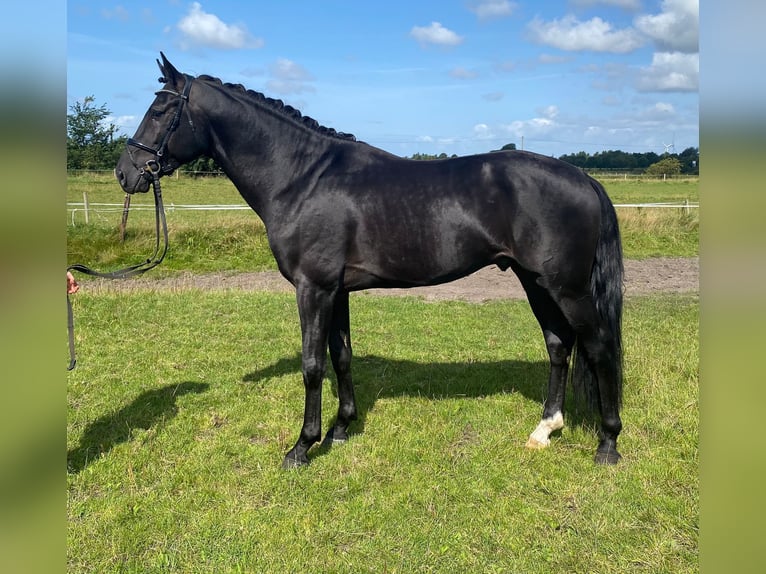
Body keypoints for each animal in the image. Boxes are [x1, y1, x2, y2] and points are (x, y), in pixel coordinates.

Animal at [118, 53, 624, 468]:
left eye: (160, 111)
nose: (126, 173)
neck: (301, 178)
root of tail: (583, 177)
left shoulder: (314, 288)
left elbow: (312, 365)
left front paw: (302, 447)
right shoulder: (336, 290)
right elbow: (341, 356)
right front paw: (341, 429)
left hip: (567, 288)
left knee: (599, 347)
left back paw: (608, 443)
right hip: (535, 281)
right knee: (559, 346)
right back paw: (545, 430)